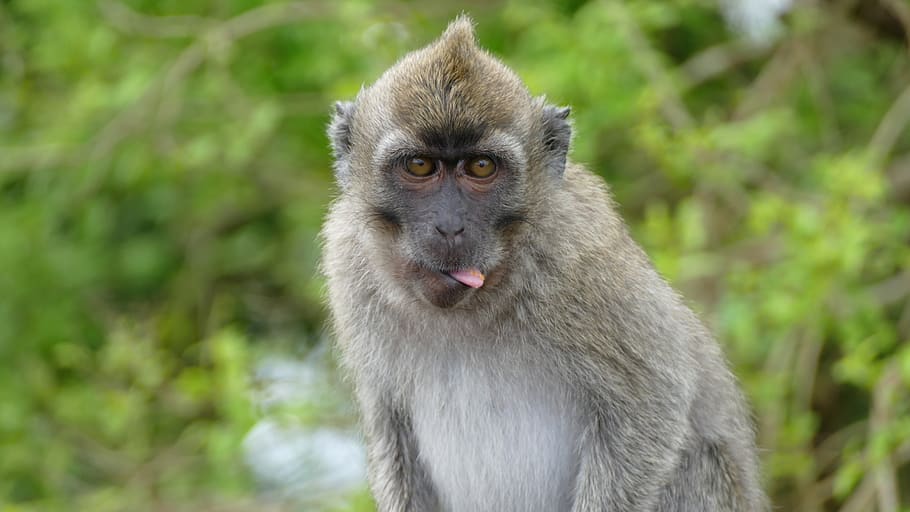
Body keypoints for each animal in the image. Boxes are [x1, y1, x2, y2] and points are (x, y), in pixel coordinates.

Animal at [322, 15, 768, 512]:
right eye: (419, 165)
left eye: (481, 167)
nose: (450, 227)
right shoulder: (348, 261)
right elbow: (389, 424)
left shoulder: (581, 260)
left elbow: (654, 401)